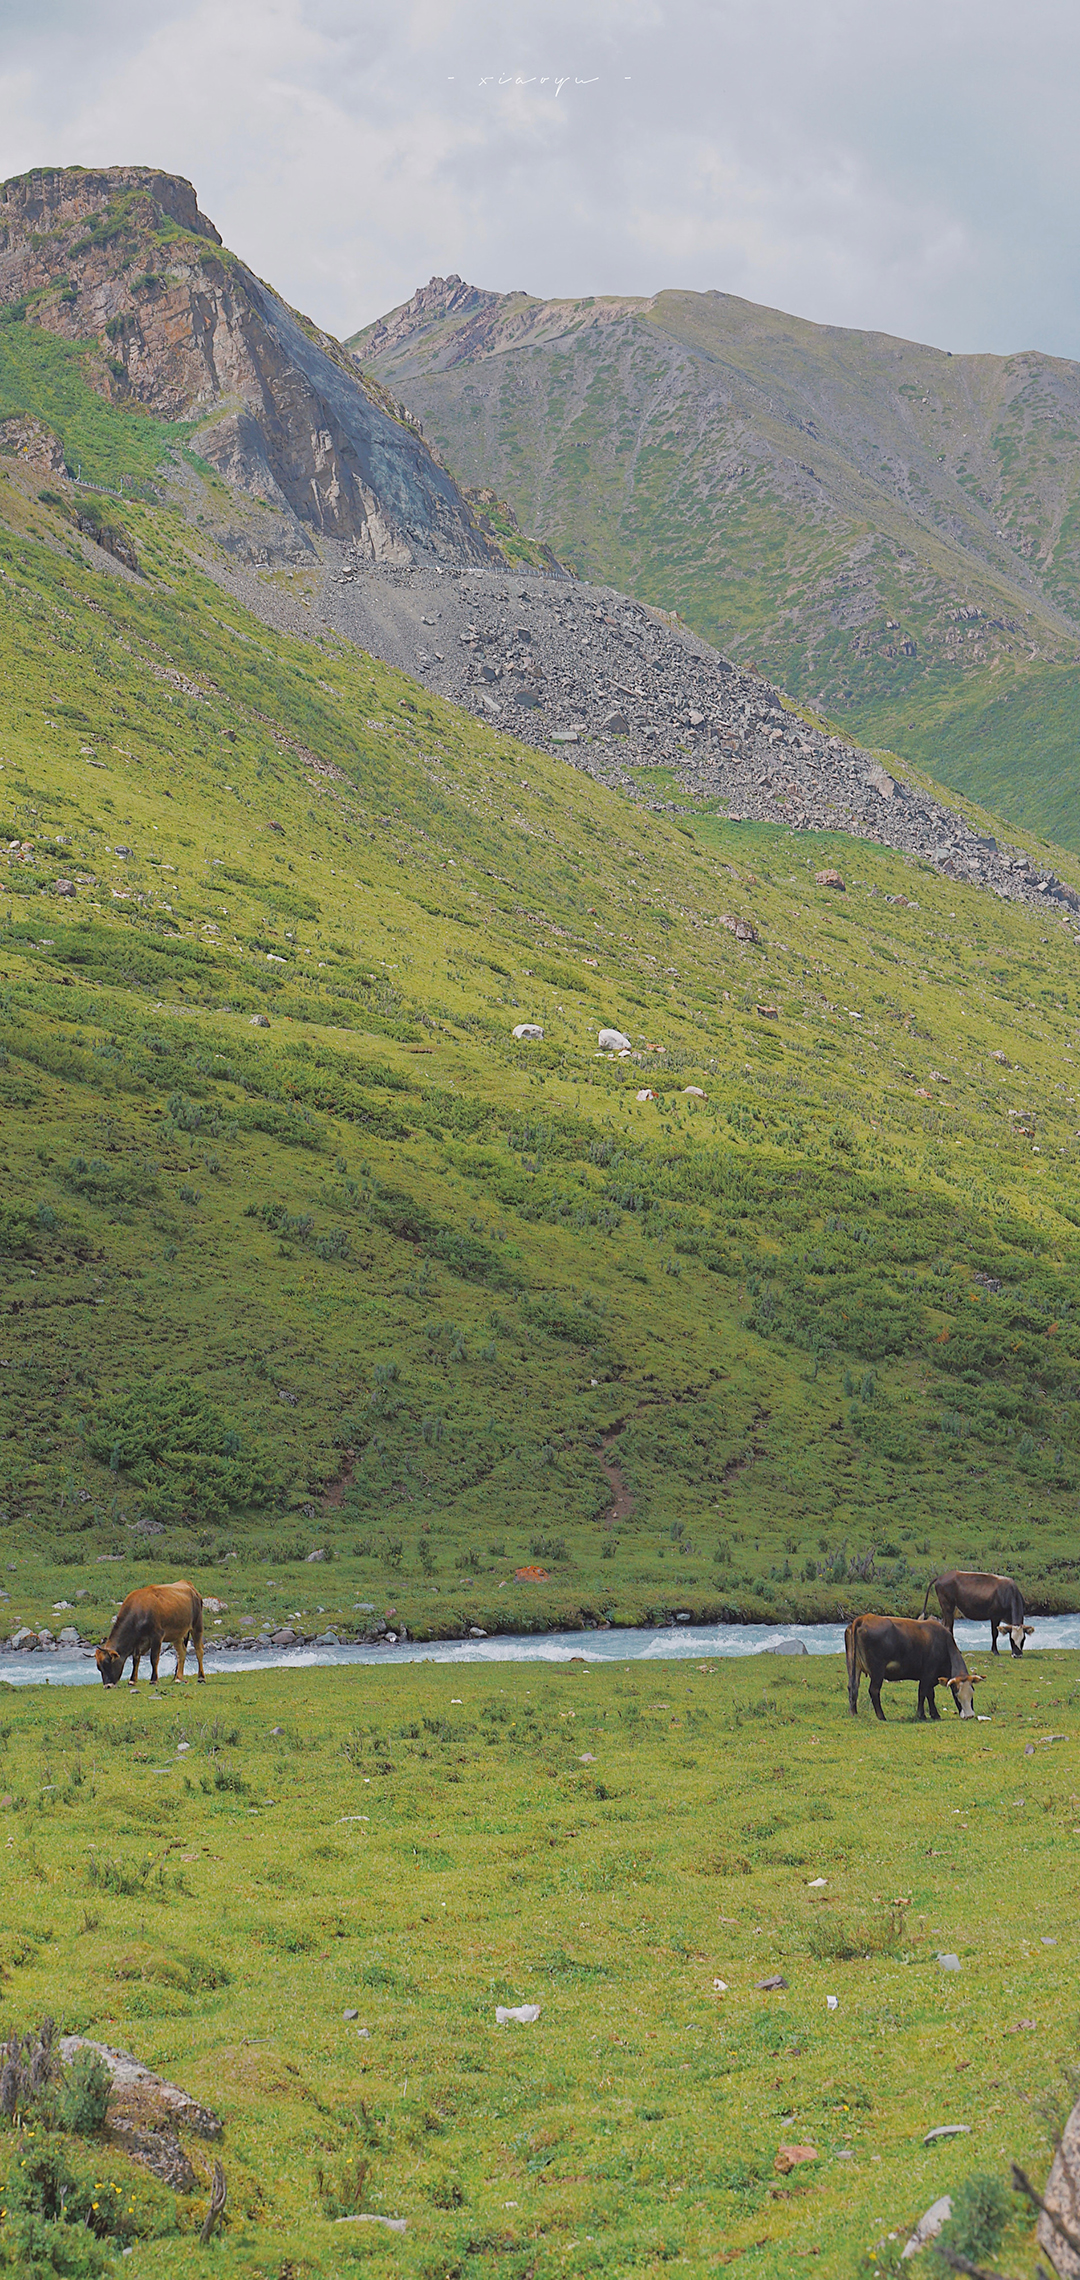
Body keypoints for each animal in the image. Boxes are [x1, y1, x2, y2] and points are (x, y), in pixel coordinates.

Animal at [847, 1614, 984, 1714]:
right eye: (956, 1694)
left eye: (972, 1694)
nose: (969, 1715)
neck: (944, 1644)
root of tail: (863, 1618)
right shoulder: (928, 1674)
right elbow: (923, 1693)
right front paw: (921, 1715)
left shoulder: (931, 1678)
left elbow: (930, 1694)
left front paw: (934, 1715)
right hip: (877, 1670)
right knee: (874, 1690)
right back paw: (882, 1717)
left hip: (854, 1666)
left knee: (853, 1686)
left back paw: (854, 1713)